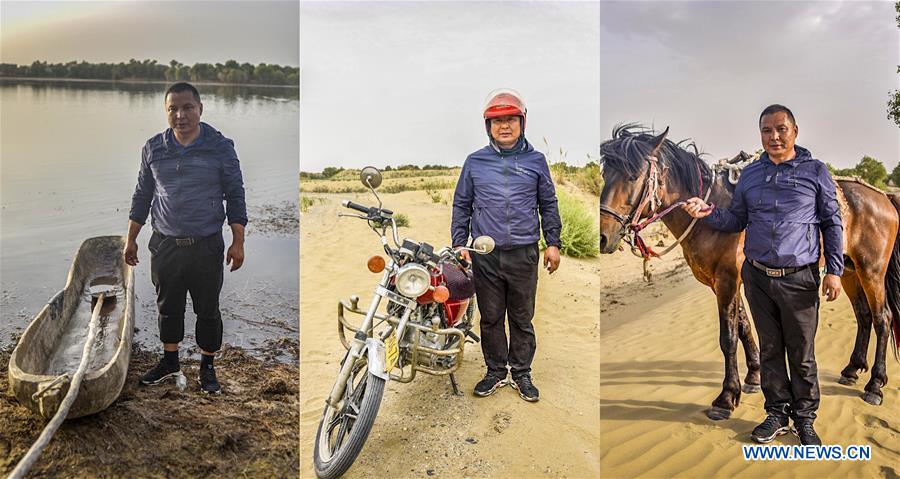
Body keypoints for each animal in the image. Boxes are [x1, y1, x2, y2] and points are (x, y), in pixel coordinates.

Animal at [596, 125, 900, 422]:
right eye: (605, 174)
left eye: (633, 176)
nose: (602, 238)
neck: (714, 213)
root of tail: (883, 197)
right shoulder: (723, 282)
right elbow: (743, 326)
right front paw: (754, 376)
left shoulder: (728, 280)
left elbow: (728, 337)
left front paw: (727, 397)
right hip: (848, 271)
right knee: (864, 316)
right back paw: (852, 369)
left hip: (871, 271)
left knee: (882, 318)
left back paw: (875, 384)